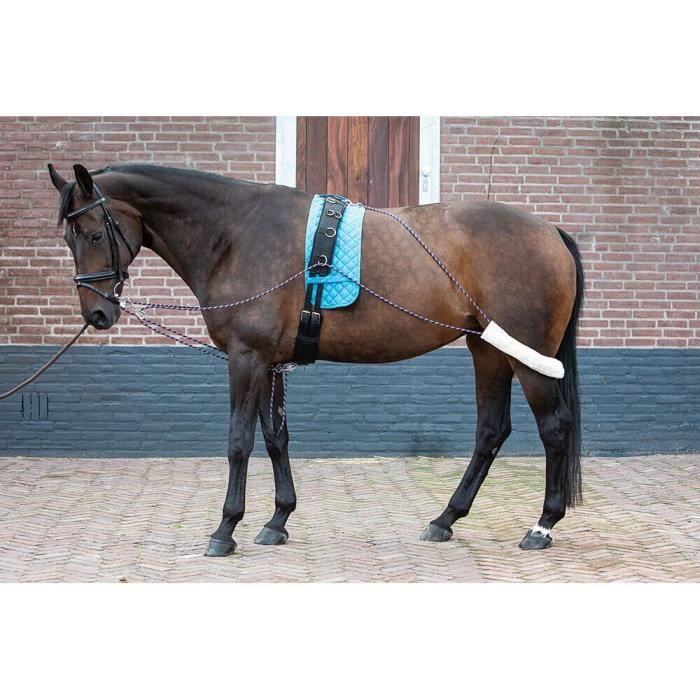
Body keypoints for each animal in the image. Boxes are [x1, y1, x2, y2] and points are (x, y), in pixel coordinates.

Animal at [47, 161, 584, 556]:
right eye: (69, 238)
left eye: (94, 234)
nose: (96, 313)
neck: (236, 232)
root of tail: (551, 232)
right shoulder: (270, 363)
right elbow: (275, 438)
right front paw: (278, 520)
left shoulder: (246, 358)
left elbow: (239, 441)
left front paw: (225, 530)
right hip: (488, 350)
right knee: (491, 431)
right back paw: (445, 519)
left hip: (527, 358)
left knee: (554, 428)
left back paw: (541, 527)